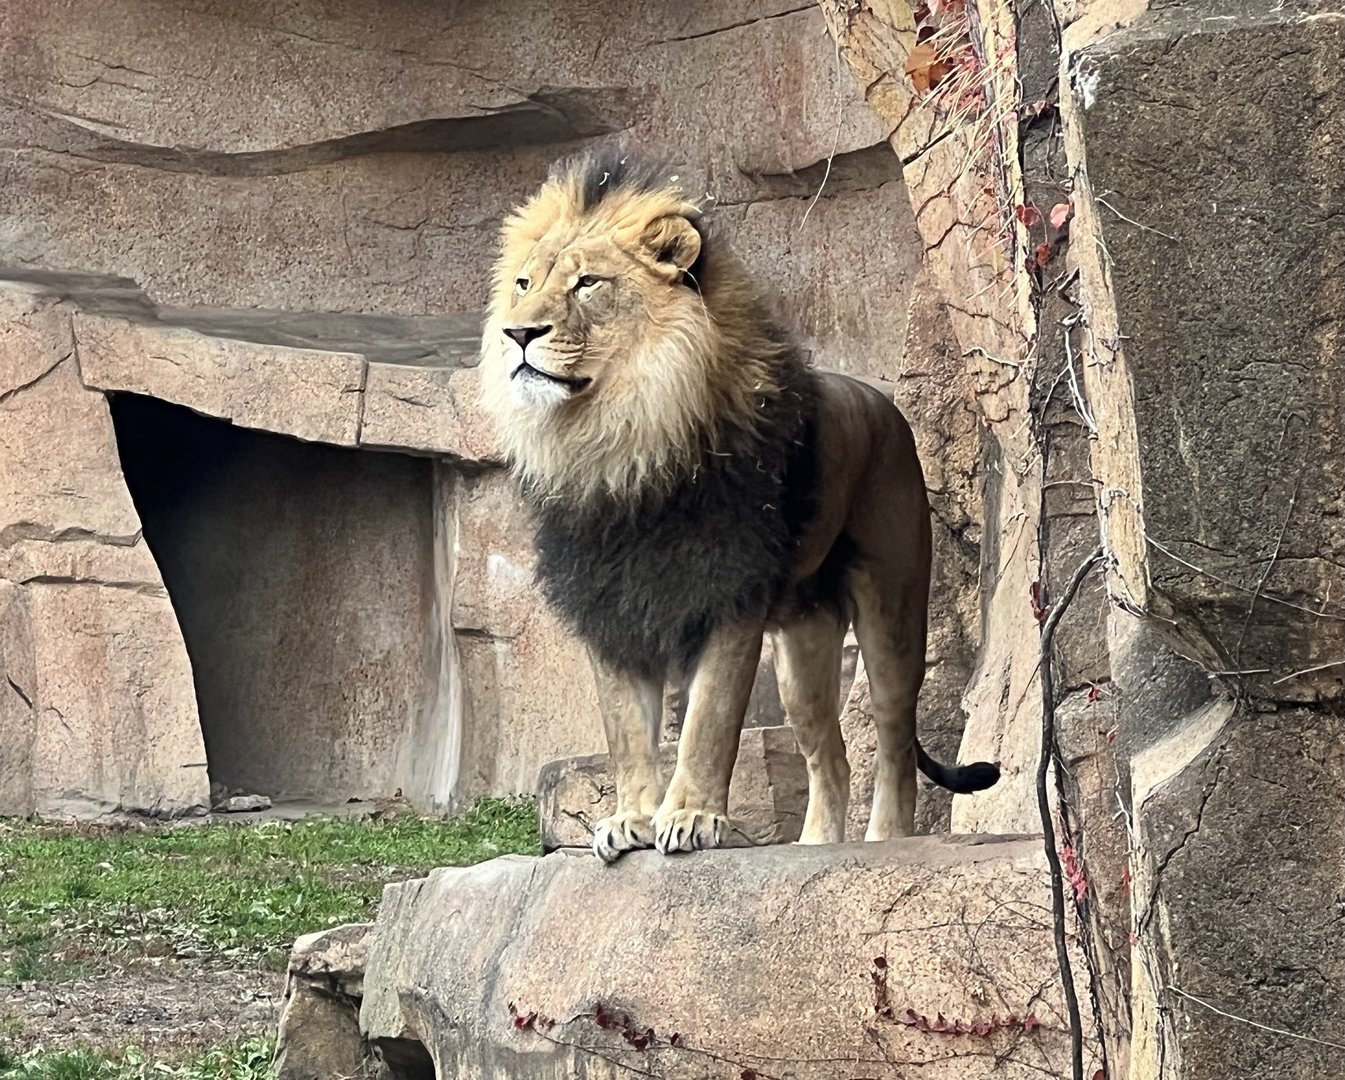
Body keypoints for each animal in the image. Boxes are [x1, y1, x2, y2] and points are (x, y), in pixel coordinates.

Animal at [479, 148, 1000, 863]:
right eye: (524, 283)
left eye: (588, 284)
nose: (517, 332)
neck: (620, 441)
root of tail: (886, 404)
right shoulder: (607, 603)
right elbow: (627, 731)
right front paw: (630, 820)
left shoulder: (728, 592)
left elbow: (709, 720)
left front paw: (691, 818)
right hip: (802, 648)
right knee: (831, 755)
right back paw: (814, 847)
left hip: (892, 611)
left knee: (893, 743)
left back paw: (883, 842)